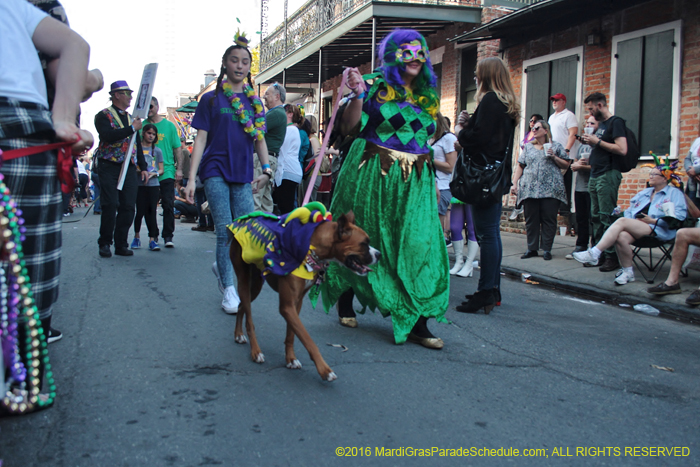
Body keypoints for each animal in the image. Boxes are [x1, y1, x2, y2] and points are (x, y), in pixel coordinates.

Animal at [228, 210, 382, 382]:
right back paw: (255, 351)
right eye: (364, 243)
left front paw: (291, 359)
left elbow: (292, 334)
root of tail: (241, 220)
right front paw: (325, 370)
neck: (312, 248)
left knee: (241, 305)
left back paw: (239, 335)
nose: (379, 254)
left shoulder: (296, 303)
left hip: (255, 286)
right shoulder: (287, 307)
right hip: (244, 281)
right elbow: (308, 340)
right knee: (249, 320)